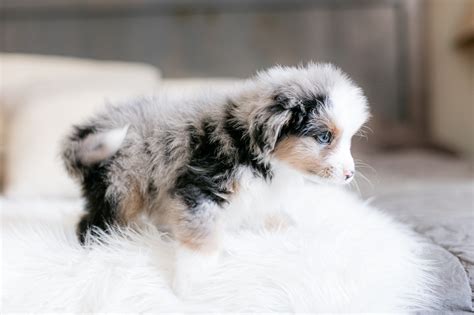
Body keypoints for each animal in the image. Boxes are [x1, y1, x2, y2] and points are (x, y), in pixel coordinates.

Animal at [60, 63, 370, 296]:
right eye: (324, 137)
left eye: (349, 139)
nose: (349, 174)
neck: (249, 142)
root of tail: (90, 130)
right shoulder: (201, 187)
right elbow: (202, 233)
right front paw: (191, 282)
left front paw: (284, 225)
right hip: (122, 185)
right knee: (91, 224)